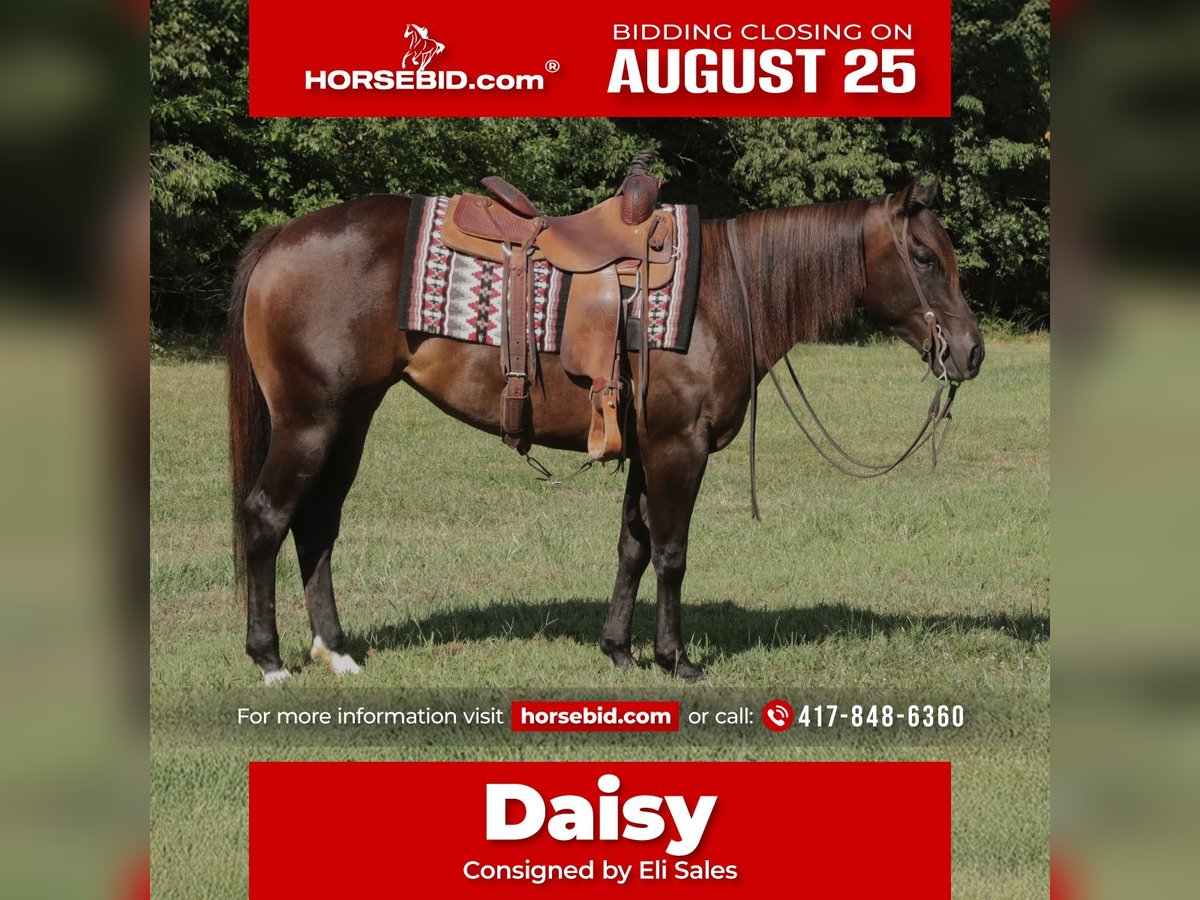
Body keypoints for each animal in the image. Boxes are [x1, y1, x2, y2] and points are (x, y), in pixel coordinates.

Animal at [226, 177, 984, 684]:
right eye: (923, 257)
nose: (972, 352)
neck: (721, 295)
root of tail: (282, 236)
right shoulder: (680, 448)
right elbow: (672, 552)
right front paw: (675, 659)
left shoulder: (646, 450)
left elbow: (632, 546)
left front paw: (618, 648)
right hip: (310, 421)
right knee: (266, 518)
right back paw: (268, 659)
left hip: (349, 420)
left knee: (317, 526)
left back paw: (337, 651)